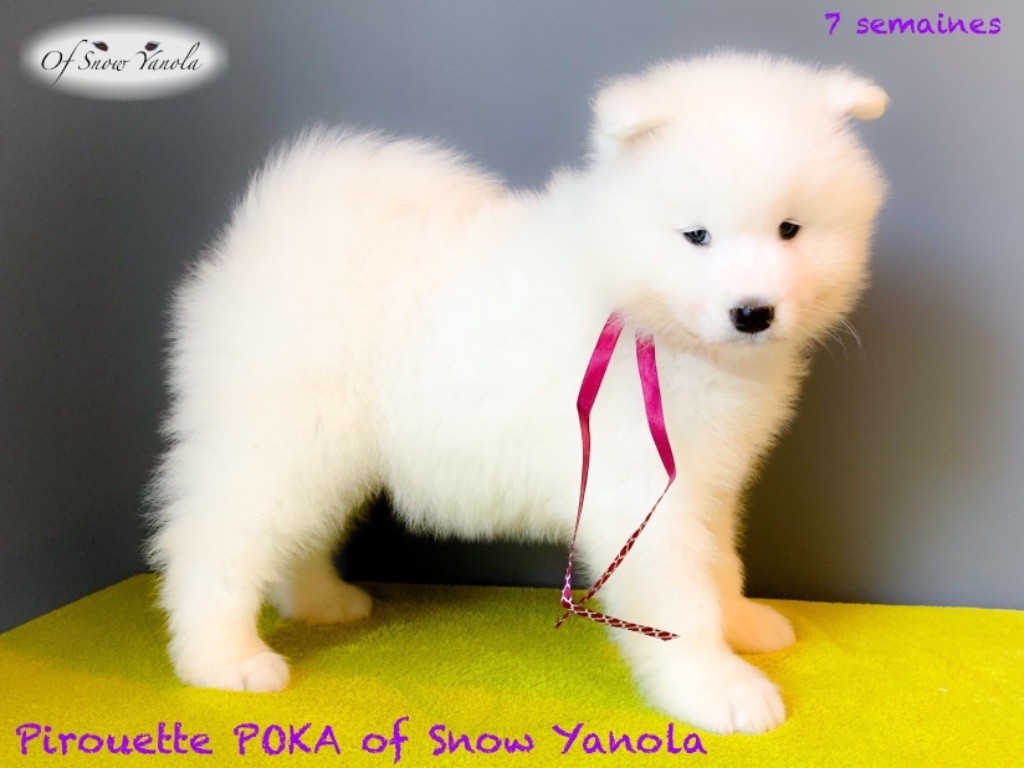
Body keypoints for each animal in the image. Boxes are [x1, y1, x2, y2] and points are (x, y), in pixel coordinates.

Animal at [147, 51, 888, 734]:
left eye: (791, 229)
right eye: (696, 235)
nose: (753, 312)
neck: (638, 304)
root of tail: (273, 230)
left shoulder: (708, 481)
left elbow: (721, 564)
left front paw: (742, 623)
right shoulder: (642, 490)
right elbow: (682, 601)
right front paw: (719, 689)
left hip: (328, 452)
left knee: (293, 534)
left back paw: (321, 600)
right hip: (281, 440)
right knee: (213, 540)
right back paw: (223, 658)